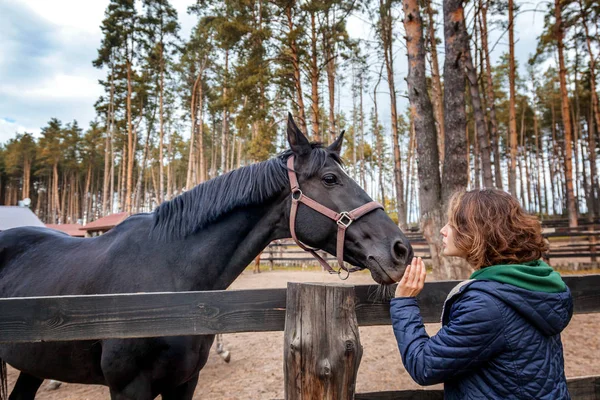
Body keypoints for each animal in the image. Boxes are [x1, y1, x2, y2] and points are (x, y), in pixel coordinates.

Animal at [0, 114, 412, 398]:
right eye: (330, 179)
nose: (401, 249)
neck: (167, 283)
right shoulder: (129, 387)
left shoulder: (185, 382)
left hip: (31, 366)